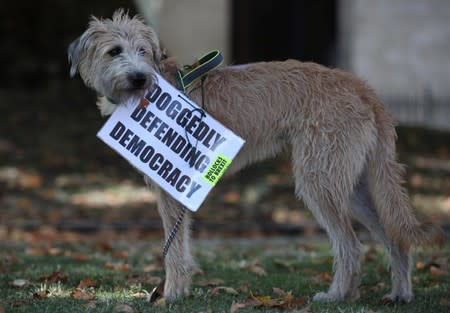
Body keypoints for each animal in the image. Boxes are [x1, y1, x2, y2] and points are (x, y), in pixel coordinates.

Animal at [67, 9, 442, 302]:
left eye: (143, 51)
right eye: (114, 51)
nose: (139, 77)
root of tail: (363, 88)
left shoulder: (170, 188)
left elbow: (173, 247)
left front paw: (171, 294)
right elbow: (182, 243)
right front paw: (182, 289)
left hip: (320, 181)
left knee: (350, 245)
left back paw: (337, 296)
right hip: (356, 187)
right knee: (394, 238)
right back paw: (400, 293)